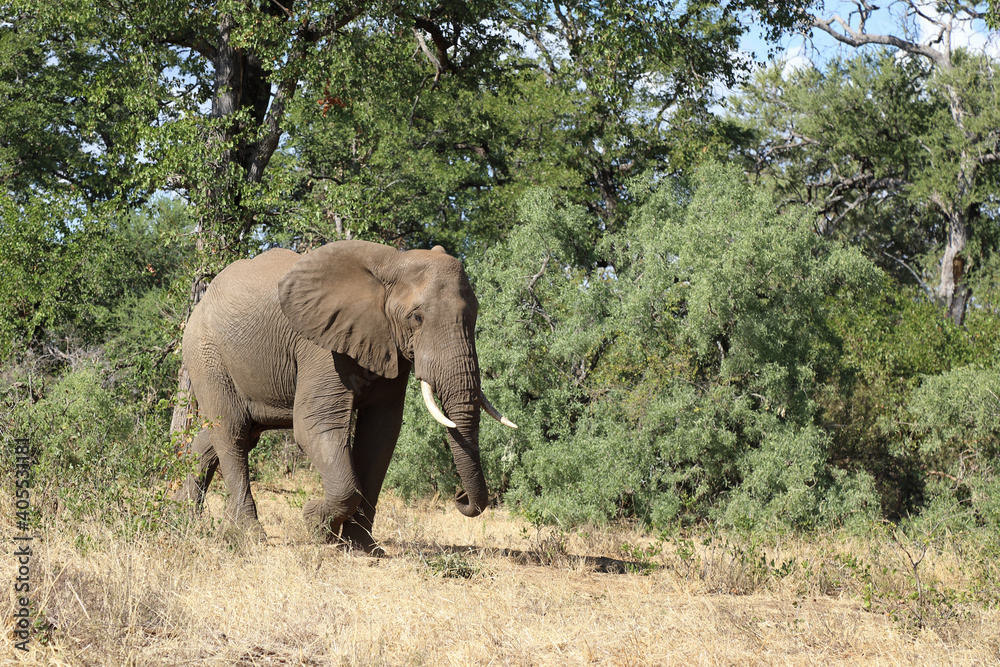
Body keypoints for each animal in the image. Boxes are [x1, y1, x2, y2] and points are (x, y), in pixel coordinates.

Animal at [175, 240, 516, 552]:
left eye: (475, 315)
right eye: (416, 318)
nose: (460, 496)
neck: (391, 265)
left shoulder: (389, 345)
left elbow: (380, 435)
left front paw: (363, 547)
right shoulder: (321, 346)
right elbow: (315, 425)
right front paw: (315, 524)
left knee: (225, 436)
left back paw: (183, 521)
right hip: (206, 355)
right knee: (232, 433)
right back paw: (249, 537)